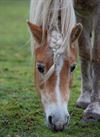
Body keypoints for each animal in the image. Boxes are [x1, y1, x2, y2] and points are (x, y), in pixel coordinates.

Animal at [27, 0, 100, 132]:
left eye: (73, 67)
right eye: (40, 67)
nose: (59, 122)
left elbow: (96, 54)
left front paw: (94, 109)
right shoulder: (79, 9)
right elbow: (84, 51)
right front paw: (85, 98)